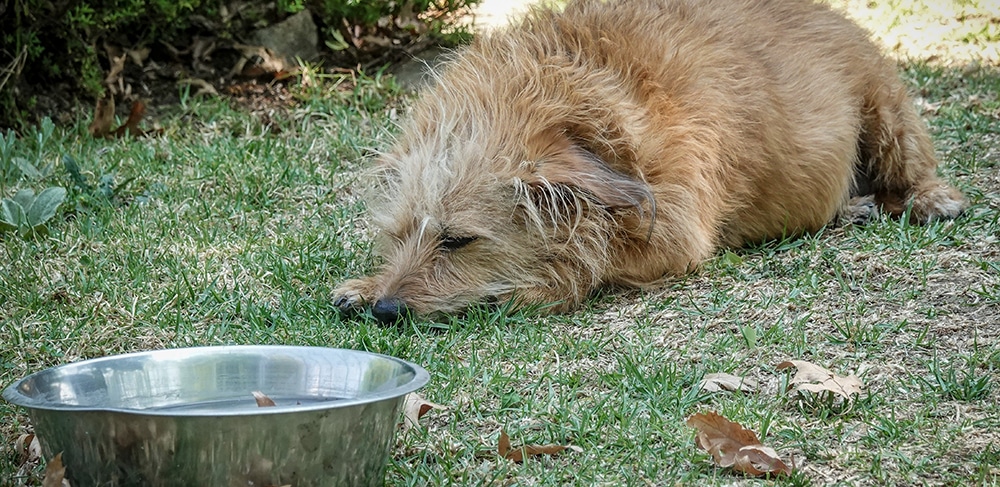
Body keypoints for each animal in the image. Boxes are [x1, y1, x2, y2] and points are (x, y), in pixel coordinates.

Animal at [334, 0, 968, 324]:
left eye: (458, 241)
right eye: (398, 235)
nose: (387, 309)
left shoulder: (677, 233)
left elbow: (587, 261)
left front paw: (522, 289)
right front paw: (366, 285)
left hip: (885, 104)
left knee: (910, 167)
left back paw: (927, 198)